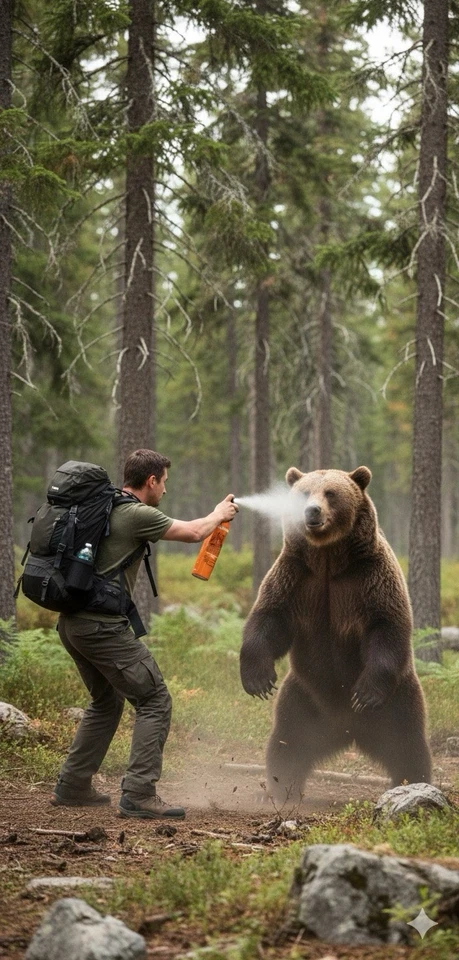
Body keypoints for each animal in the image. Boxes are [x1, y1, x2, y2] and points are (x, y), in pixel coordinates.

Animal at [240, 465, 432, 804]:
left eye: (330, 493)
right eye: (304, 492)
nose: (311, 511)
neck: (328, 559)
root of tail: (348, 731)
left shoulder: (370, 578)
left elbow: (386, 626)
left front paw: (364, 694)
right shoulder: (296, 578)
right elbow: (269, 619)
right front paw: (257, 679)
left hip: (398, 700)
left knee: (408, 745)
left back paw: (413, 784)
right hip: (303, 700)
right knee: (286, 743)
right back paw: (281, 789)